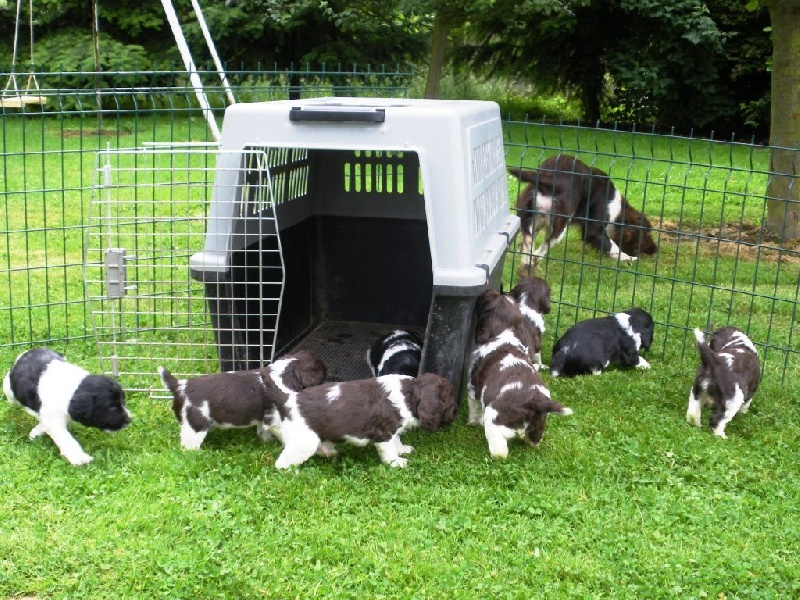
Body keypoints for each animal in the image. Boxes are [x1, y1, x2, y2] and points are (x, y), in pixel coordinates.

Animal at [3, 344, 131, 466]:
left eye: (123, 401)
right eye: (111, 407)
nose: (129, 419)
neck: (73, 391)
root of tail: (27, 352)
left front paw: (35, 433)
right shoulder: (55, 422)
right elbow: (68, 440)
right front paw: (80, 459)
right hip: (9, 389)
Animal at [158, 352, 326, 450]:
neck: (284, 373)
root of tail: (180, 386)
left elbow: (262, 430)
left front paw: (266, 440)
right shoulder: (276, 418)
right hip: (195, 426)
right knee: (188, 445)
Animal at [274, 372, 456, 472]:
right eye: (451, 402)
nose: (455, 415)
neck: (410, 393)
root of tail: (287, 401)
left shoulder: (392, 429)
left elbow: (397, 439)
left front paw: (402, 449)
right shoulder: (384, 432)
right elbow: (389, 451)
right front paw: (396, 462)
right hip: (304, 441)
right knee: (281, 463)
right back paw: (292, 472)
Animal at [466, 288, 572, 458]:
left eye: (489, 299)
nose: (488, 290)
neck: (506, 333)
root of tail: (535, 400)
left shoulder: (472, 386)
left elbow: (474, 408)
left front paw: (473, 423)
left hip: (494, 418)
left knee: (500, 448)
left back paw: (495, 456)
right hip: (540, 421)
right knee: (534, 439)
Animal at [512, 155, 656, 270]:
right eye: (646, 234)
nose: (655, 249)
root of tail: (550, 178)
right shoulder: (593, 229)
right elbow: (613, 247)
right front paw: (628, 258)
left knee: (528, 245)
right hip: (560, 225)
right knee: (541, 249)